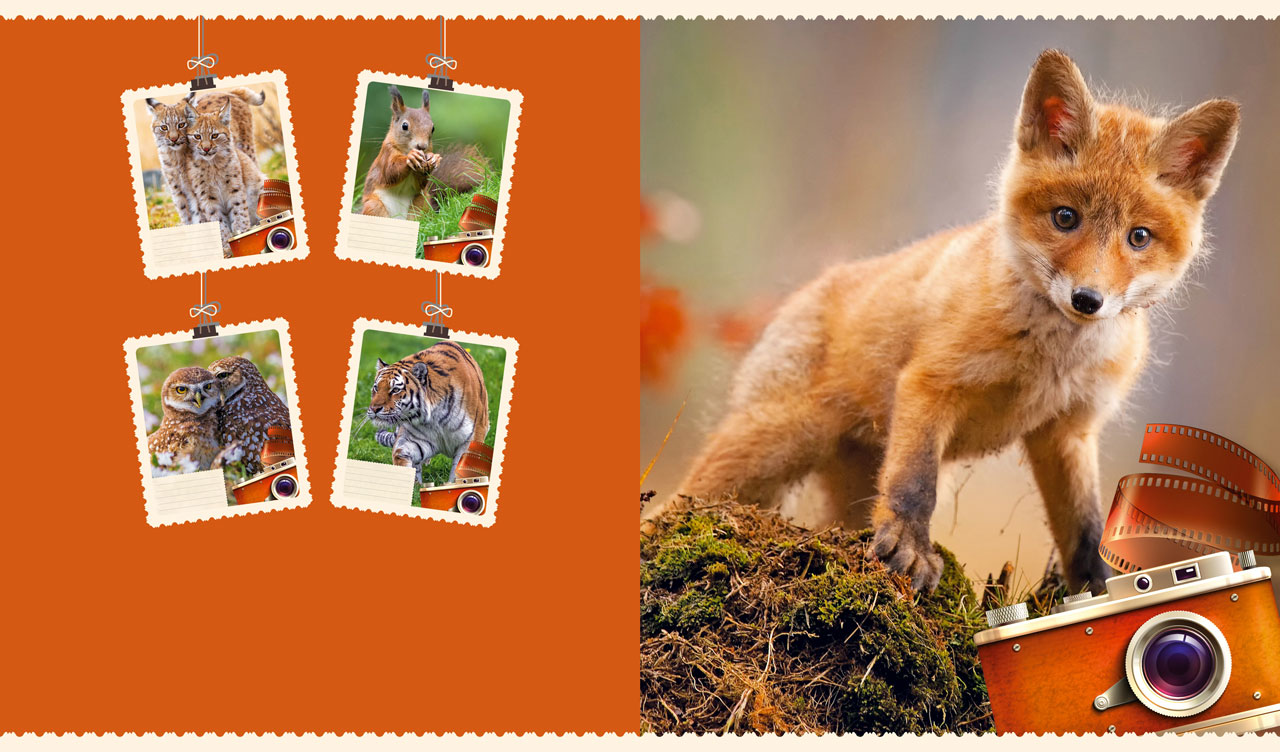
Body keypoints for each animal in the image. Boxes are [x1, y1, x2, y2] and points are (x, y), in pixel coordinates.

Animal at [663, 50, 1240, 593]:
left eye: (1138, 237)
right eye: (1065, 218)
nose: (1087, 299)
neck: (1049, 359)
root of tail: (810, 289)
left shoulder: (1068, 430)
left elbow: (1085, 529)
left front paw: (1102, 591)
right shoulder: (931, 384)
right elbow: (916, 483)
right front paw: (909, 549)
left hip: (844, 484)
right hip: (767, 448)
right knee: (673, 504)